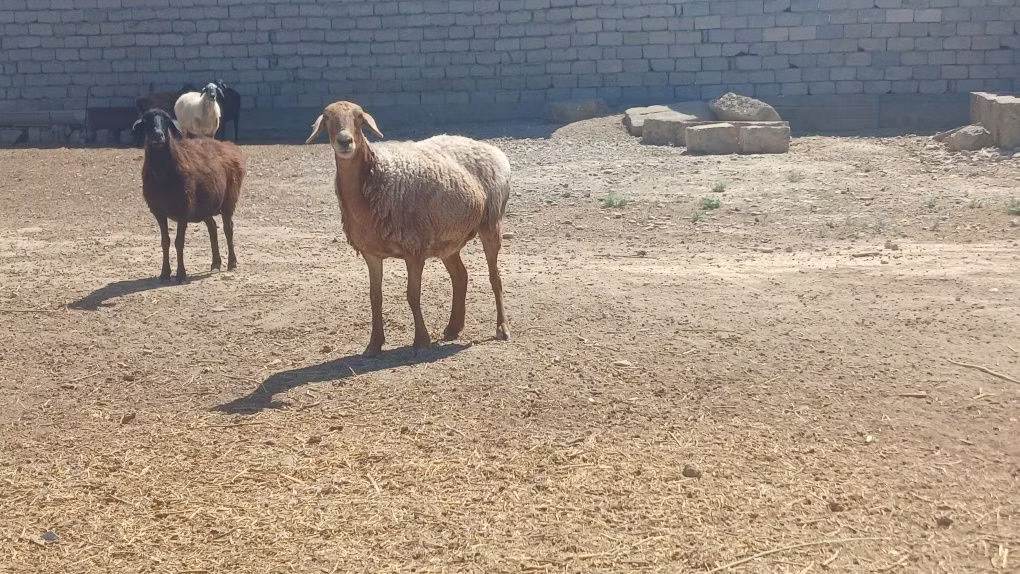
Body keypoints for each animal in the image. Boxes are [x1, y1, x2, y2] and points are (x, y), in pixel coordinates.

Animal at [131, 108, 245, 283]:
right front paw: (165, 274)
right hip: (204, 205)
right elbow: (165, 242)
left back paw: (232, 263)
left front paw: (181, 275)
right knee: (212, 228)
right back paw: (216, 263)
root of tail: (229, 146)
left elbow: (179, 242)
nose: (158, 135)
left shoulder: (183, 209)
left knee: (228, 228)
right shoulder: (158, 211)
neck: (163, 174)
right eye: (146, 121)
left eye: (166, 120)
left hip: (228, 200)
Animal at [305, 100, 511, 356]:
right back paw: (454, 327)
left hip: (491, 221)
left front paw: (421, 341)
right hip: (447, 238)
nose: (345, 141)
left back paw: (502, 328)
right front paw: (374, 344)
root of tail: (490, 149)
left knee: (495, 277)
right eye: (327, 118)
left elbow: (412, 295)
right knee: (460, 276)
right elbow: (375, 297)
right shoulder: (371, 253)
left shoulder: (414, 249)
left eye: (359, 118)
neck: (375, 178)